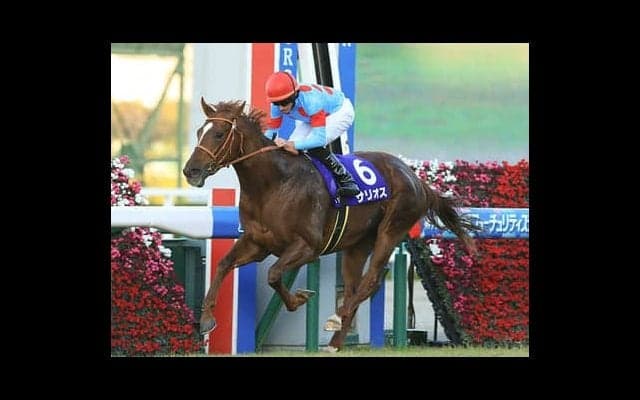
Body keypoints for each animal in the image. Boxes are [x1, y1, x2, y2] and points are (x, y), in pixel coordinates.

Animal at [183, 97, 478, 352]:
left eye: (219, 133)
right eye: (198, 132)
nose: (190, 171)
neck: (273, 185)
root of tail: (415, 178)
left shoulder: (307, 246)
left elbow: (274, 274)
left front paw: (300, 298)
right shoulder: (257, 243)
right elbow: (223, 265)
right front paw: (206, 319)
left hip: (392, 229)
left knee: (370, 281)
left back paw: (337, 318)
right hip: (358, 245)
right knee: (354, 287)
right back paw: (336, 342)